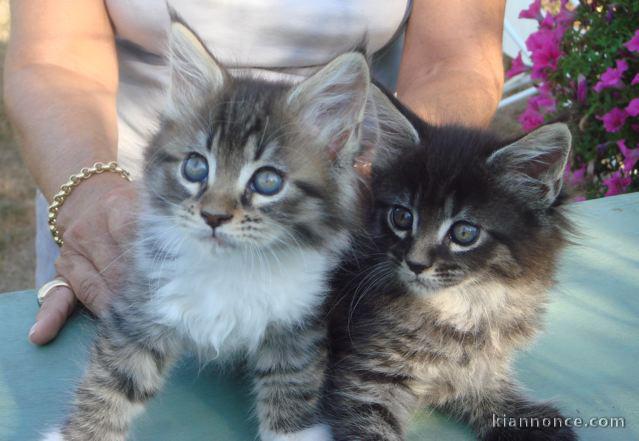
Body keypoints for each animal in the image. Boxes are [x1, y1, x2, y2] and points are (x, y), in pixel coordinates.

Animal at [45, 14, 376, 440]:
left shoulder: (299, 324)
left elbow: (292, 384)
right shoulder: (142, 303)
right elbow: (112, 381)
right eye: (195, 167)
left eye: (268, 181)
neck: (229, 267)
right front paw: (83, 431)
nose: (214, 216)